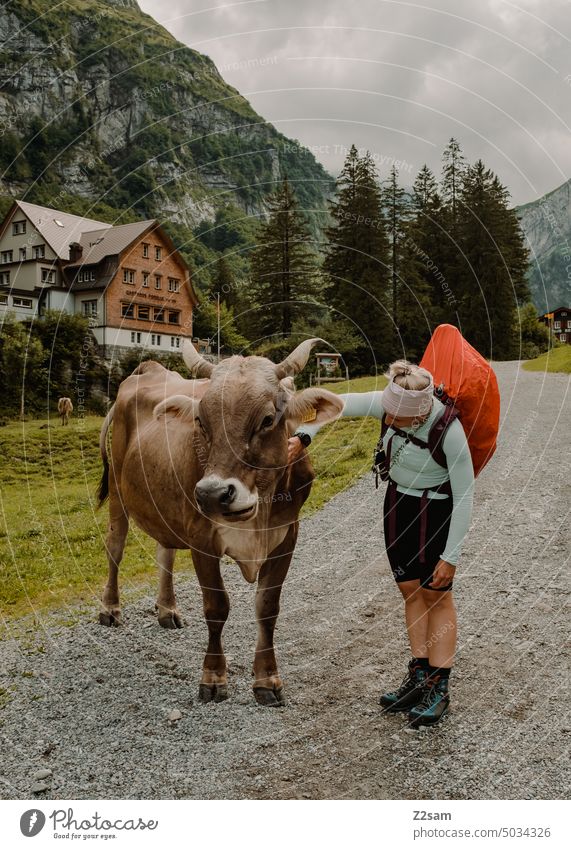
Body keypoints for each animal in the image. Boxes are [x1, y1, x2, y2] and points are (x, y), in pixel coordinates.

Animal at [97, 336, 344, 704]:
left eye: (267, 419)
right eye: (201, 420)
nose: (213, 494)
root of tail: (147, 369)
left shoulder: (287, 537)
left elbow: (268, 607)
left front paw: (267, 680)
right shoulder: (202, 539)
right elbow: (216, 608)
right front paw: (213, 678)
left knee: (165, 551)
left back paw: (167, 610)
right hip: (117, 488)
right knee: (115, 546)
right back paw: (110, 608)